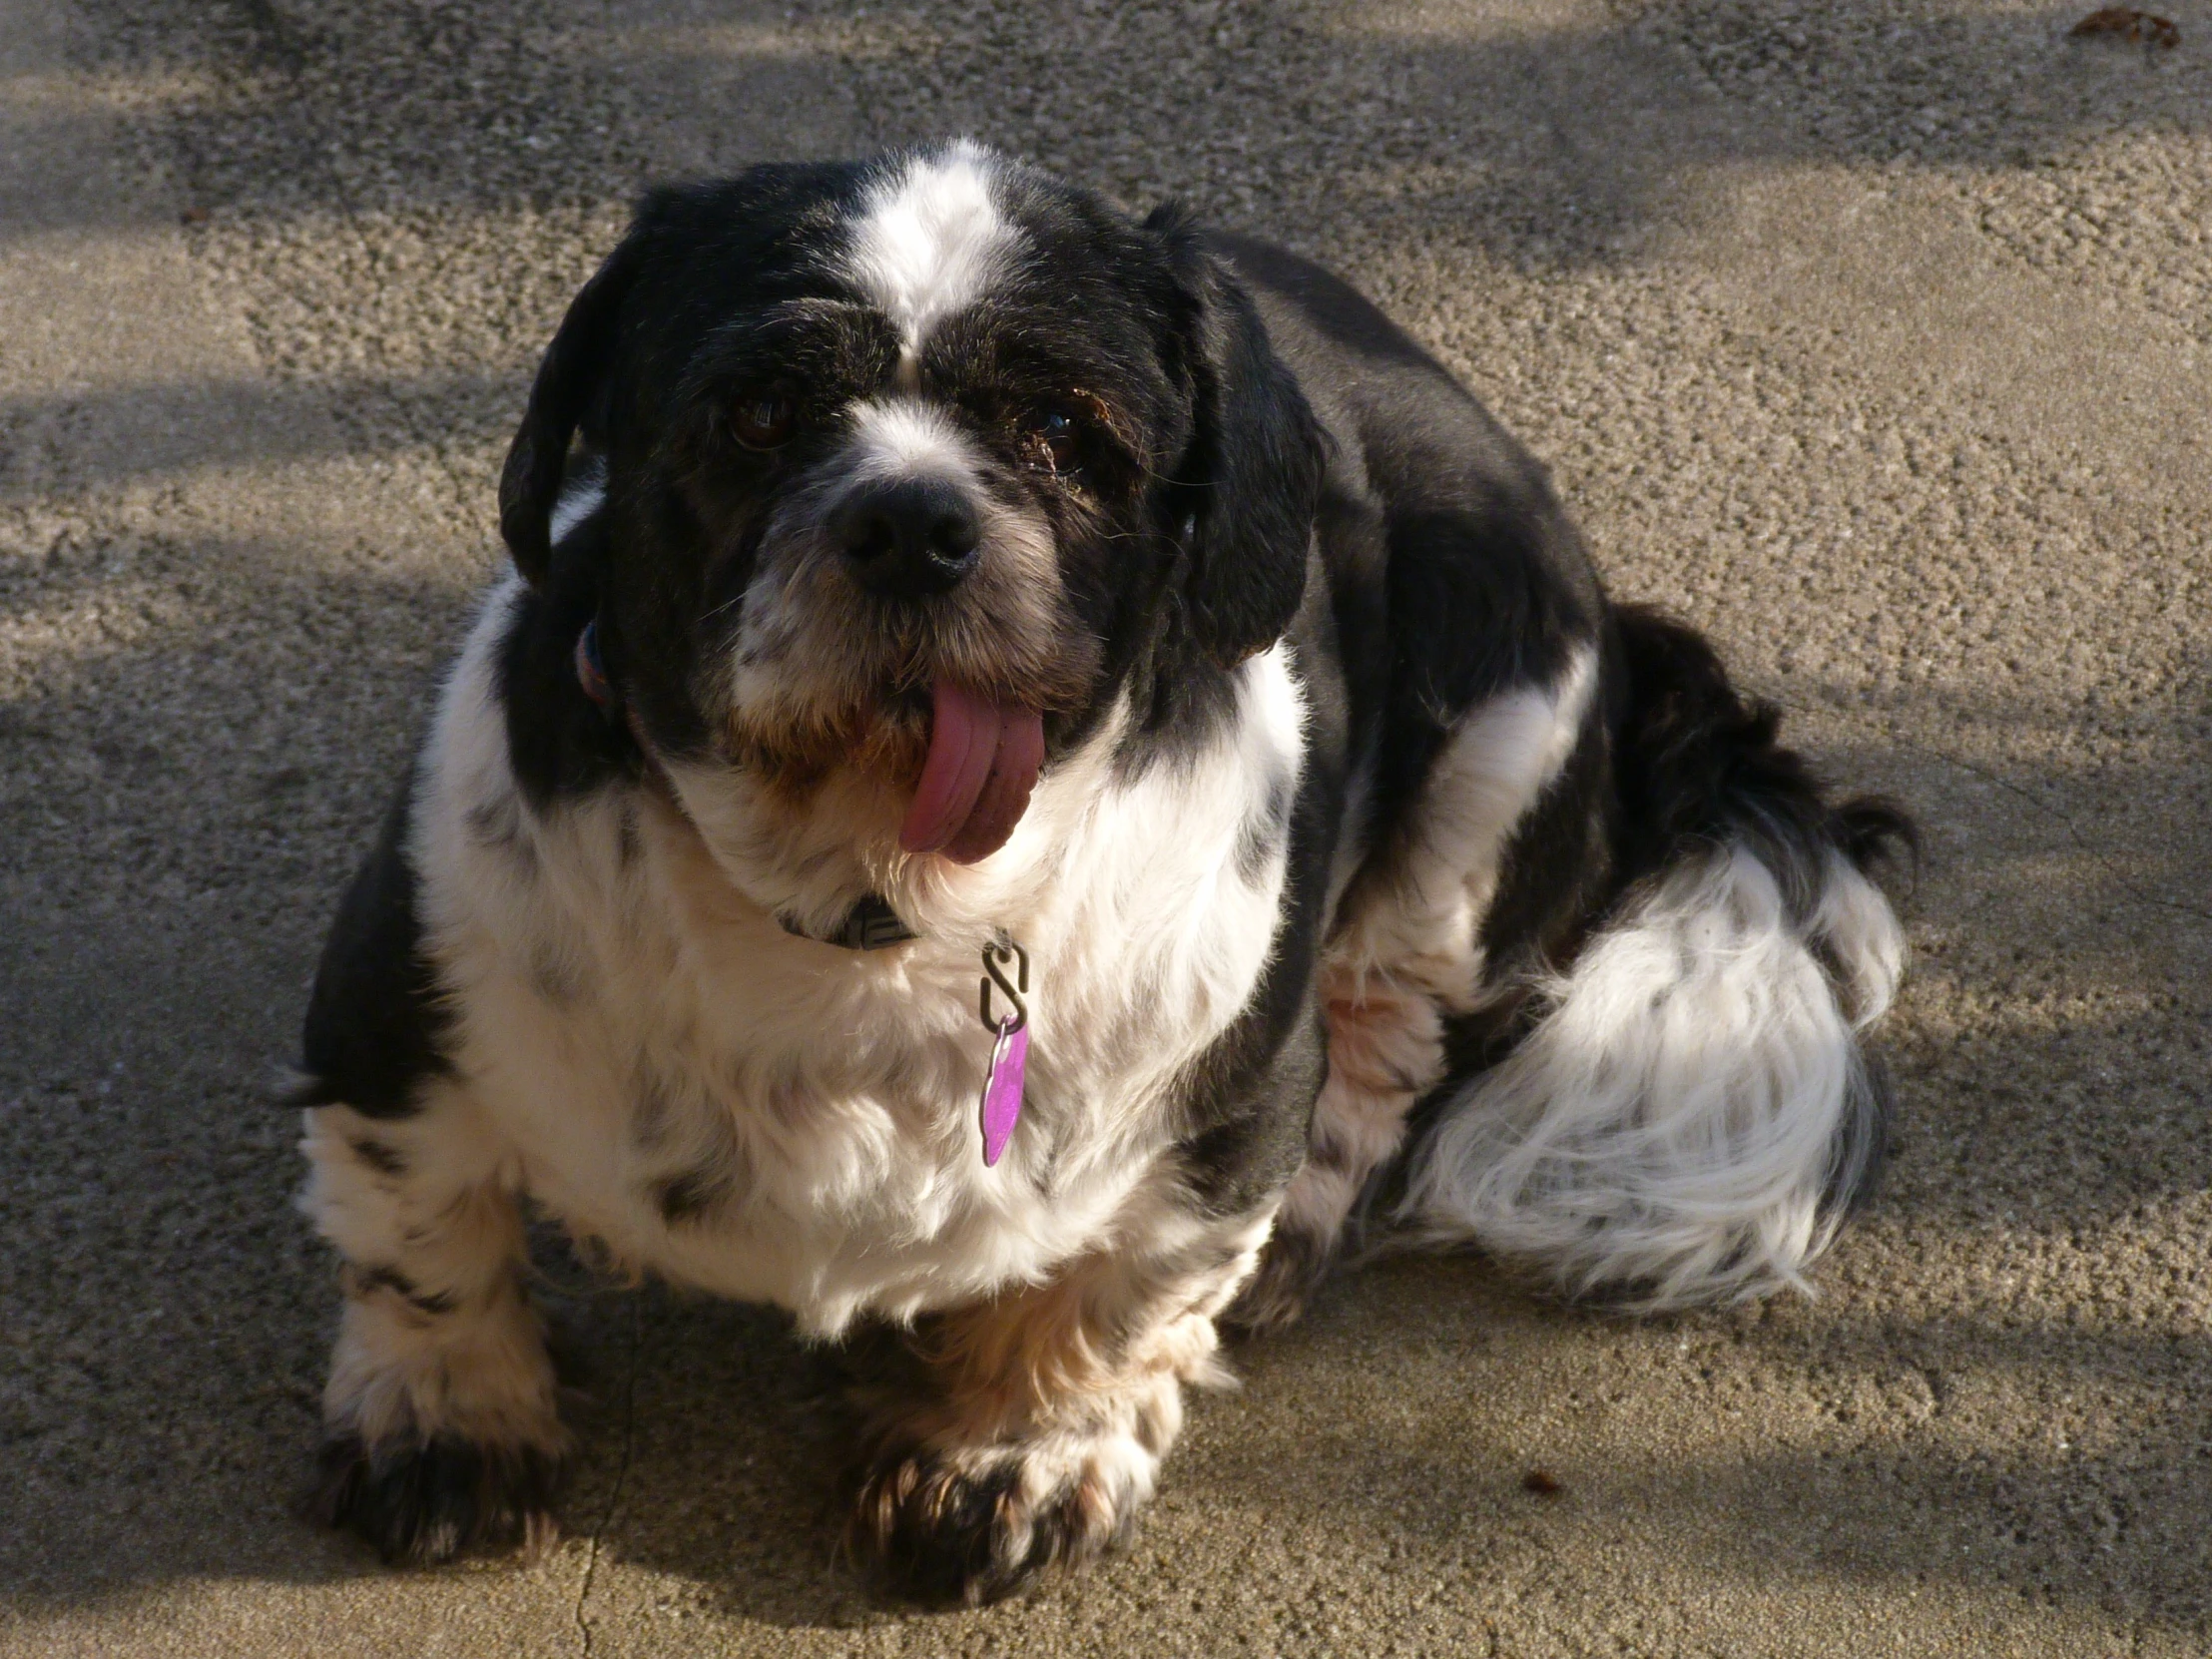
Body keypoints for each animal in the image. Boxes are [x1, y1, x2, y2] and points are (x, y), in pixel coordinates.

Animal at [293, 146, 1911, 1610]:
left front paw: (1009, 1456)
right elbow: (420, 1234)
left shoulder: (1224, 1103)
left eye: (1070, 430)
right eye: (754, 412)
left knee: (1390, 1026)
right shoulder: (390, 1017)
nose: (912, 518)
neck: (872, 908)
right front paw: (448, 1419)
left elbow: (1119, 1297)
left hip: (1495, 726)